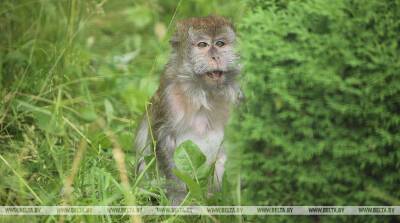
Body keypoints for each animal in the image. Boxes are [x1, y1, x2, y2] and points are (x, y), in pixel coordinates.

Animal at [134, 14, 242, 205]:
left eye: (220, 44)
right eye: (202, 45)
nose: (216, 57)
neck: (204, 93)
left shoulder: (237, 97)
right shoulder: (169, 97)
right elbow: (162, 138)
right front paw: (177, 196)